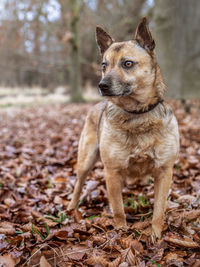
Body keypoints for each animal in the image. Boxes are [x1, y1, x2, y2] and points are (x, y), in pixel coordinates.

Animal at [68, 18, 180, 241]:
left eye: (127, 63)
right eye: (104, 65)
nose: (101, 85)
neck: (137, 114)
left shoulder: (164, 171)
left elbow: (159, 210)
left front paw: (155, 236)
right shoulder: (112, 172)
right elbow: (118, 209)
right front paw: (121, 234)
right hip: (86, 161)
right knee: (78, 185)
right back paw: (71, 208)